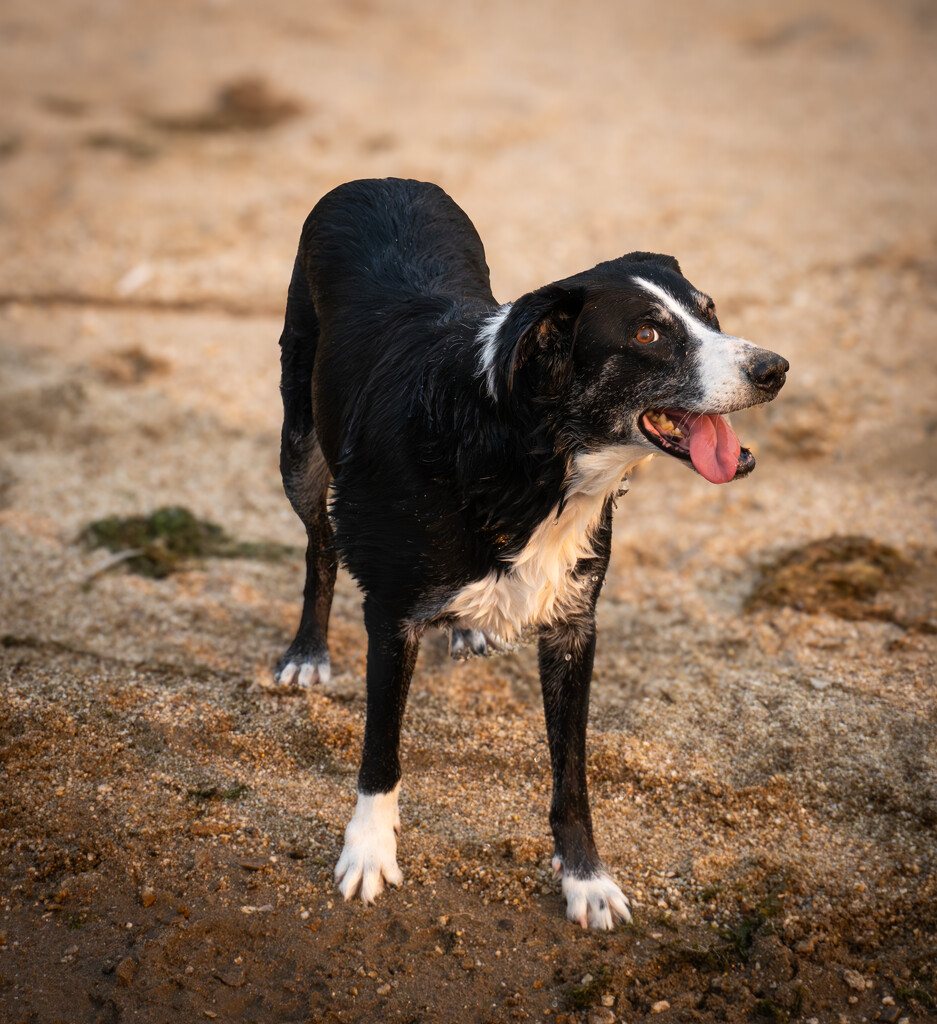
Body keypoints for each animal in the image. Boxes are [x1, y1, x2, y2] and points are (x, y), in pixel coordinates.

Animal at [274, 176, 786, 929]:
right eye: (647, 334)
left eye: (709, 312)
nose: (775, 368)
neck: (532, 459)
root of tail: (381, 180)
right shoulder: (391, 617)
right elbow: (380, 750)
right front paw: (368, 852)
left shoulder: (574, 625)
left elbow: (572, 771)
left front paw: (585, 877)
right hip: (301, 445)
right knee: (319, 546)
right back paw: (307, 651)